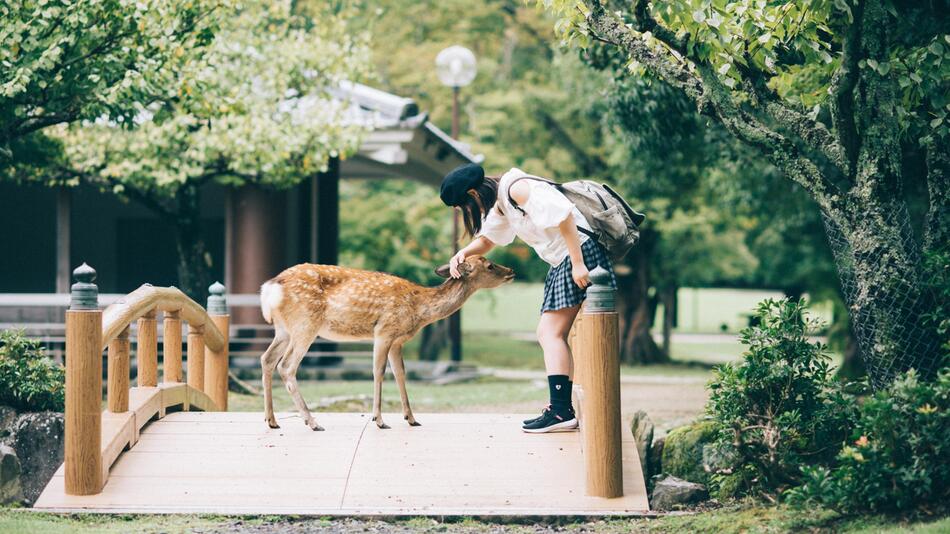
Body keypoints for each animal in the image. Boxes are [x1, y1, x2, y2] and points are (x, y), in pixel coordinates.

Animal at [258, 255, 512, 432]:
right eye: (490, 265)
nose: (511, 271)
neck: (419, 308)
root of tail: (270, 288)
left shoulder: (398, 340)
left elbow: (400, 372)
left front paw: (411, 418)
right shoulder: (384, 330)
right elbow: (379, 371)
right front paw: (379, 420)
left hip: (283, 330)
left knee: (267, 359)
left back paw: (272, 420)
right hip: (305, 324)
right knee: (287, 366)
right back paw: (312, 422)